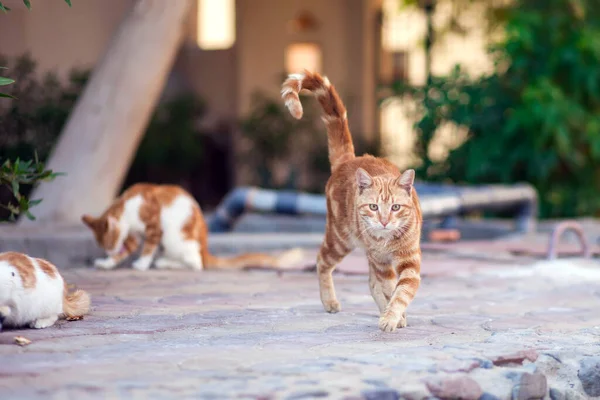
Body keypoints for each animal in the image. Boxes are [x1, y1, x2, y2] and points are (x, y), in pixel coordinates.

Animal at [82, 184, 302, 272]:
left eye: (109, 242)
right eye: (105, 245)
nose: (110, 250)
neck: (126, 205)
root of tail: (204, 248)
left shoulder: (154, 225)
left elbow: (148, 248)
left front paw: (142, 264)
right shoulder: (133, 235)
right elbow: (130, 248)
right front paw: (107, 263)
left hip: (174, 238)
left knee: (196, 264)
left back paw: (165, 264)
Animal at [282, 71, 422, 332]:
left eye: (396, 207)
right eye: (374, 207)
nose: (384, 221)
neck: (387, 241)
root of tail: (348, 160)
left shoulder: (409, 263)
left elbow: (400, 293)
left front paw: (392, 316)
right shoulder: (382, 265)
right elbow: (391, 291)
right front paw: (393, 317)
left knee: (370, 284)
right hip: (340, 240)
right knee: (322, 261)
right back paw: (329, 301)